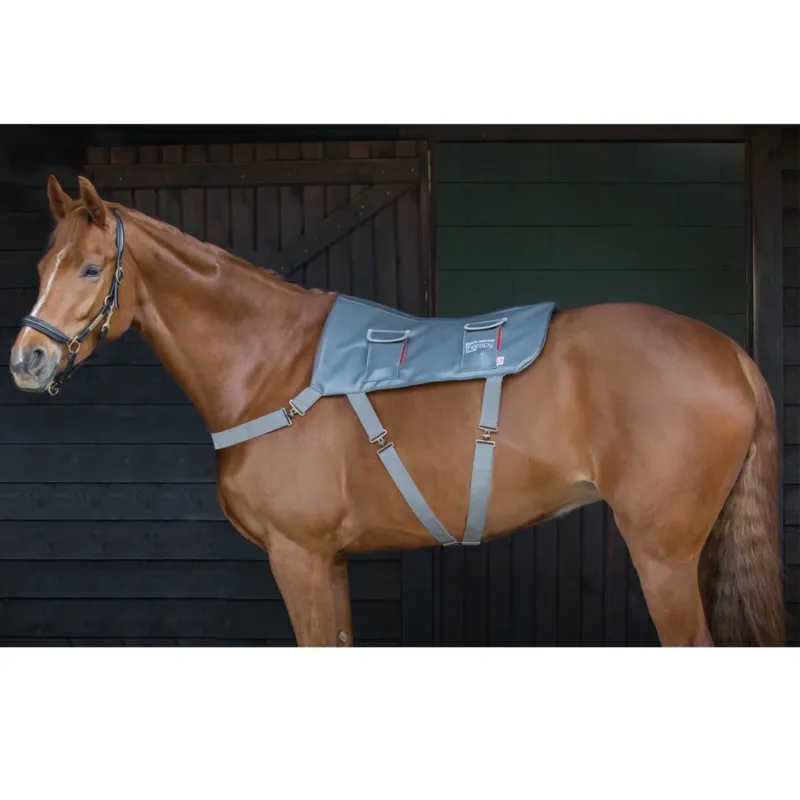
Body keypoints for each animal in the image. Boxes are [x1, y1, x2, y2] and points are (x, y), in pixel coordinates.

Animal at [8, 175, 785, 647]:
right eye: (42, 267)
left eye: (90, 268)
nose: (27, 360)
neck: (272, 366)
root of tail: (728, 352)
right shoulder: (331, 560)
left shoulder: (297, 556)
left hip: (663, 553)